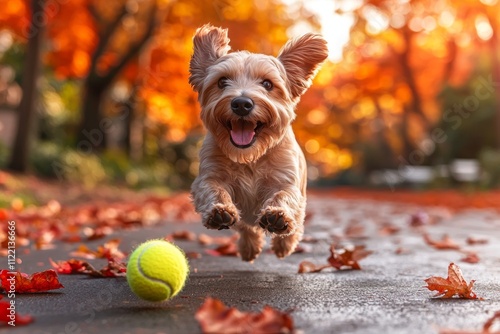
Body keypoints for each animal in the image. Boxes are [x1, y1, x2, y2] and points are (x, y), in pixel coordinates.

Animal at [188, 24, 328, 262]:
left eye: (267, 84)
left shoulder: (286, 181)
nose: (241, 103)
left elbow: (284, 196)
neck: (250, 157)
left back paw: (284, 243)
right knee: (246, 227)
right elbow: (214, 190)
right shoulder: (210, 176)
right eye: (222, 81)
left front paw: (278, 218)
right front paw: (219, 211)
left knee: (297, 224)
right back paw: (249, 247)